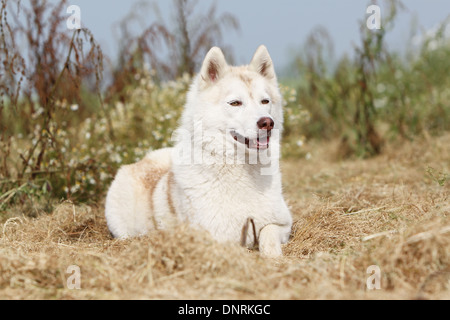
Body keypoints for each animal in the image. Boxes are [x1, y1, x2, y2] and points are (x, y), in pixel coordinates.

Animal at [106, 45, 296, 258]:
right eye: (235, 103)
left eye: (265, 101)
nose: (267, 123)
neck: (242, 167)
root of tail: (141, 161)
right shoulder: (214, 237)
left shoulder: (282, 224)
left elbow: (268, 234)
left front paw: (273, 256)